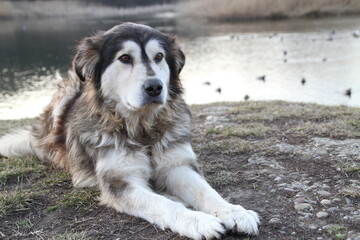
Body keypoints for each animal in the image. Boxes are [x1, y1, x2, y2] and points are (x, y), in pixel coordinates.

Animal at [0, 23, 258, 240]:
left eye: (159, 57)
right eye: (125, 58)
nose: (154, 87)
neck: (142, 129)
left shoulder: (177, 165)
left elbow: (206, 191)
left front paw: (233, 211)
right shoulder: (120, 180)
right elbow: (161, 204)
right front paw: (196, 220)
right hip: (68, 90)